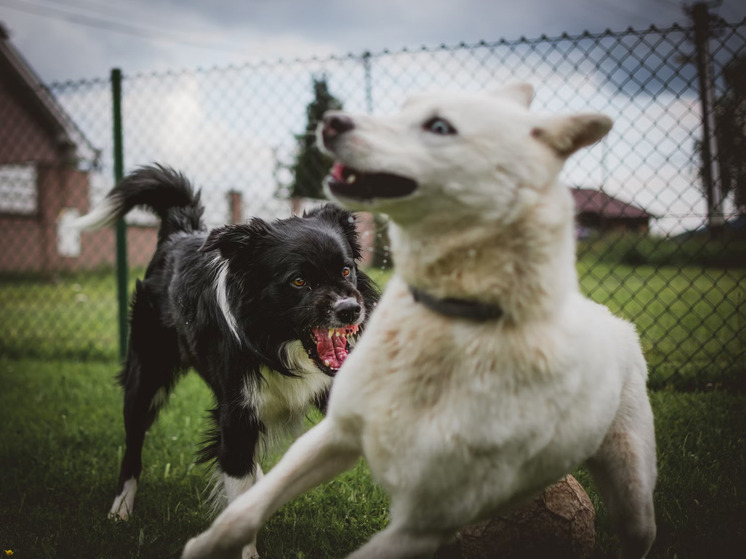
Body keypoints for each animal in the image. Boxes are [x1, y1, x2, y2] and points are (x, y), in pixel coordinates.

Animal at [75, 165, 378, 556]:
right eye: (298, 281)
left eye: (345, 271)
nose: (351, 309)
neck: (278, 343)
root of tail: (180, 231)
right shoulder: (236, 416)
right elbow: (237, 489)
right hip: (146, 377)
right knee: (133, 447)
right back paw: (120, 510)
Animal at [183, 84, 652, 559]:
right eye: (298, 281)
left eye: (346, 271)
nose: (350, 310)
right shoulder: (295, 427)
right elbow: (245, 500)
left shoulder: (430, 513)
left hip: (631, 481)